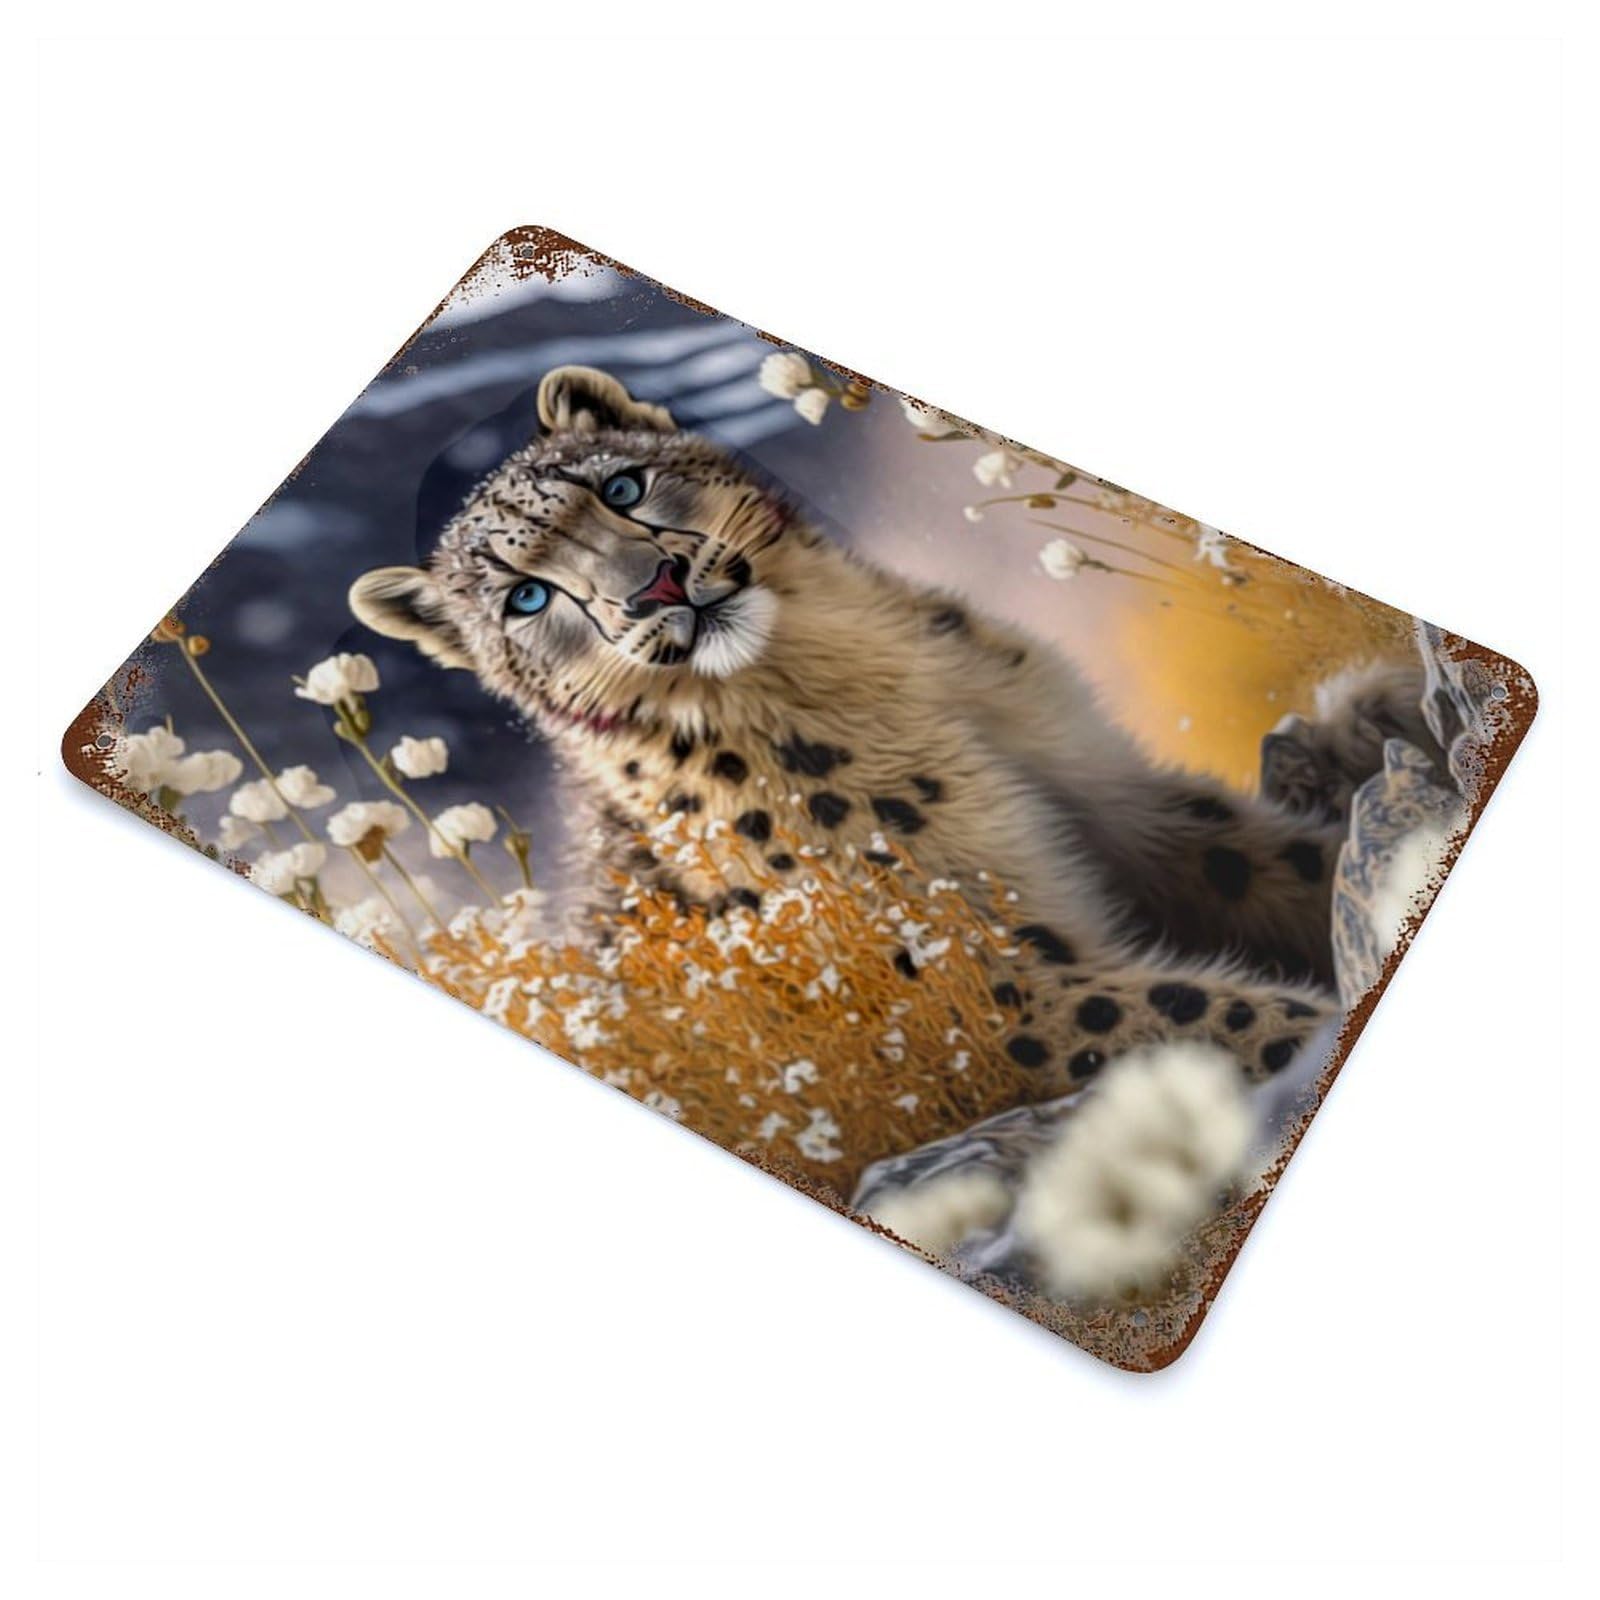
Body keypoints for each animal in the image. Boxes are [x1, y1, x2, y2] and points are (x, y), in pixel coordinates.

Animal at [350, 364, 1440, 1101]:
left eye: (619, 486)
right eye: (526, 597)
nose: (653, 585)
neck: (865, 676)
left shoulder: (1119, 802)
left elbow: (1281, 862)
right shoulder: (983, 981)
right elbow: (1219, 1013)